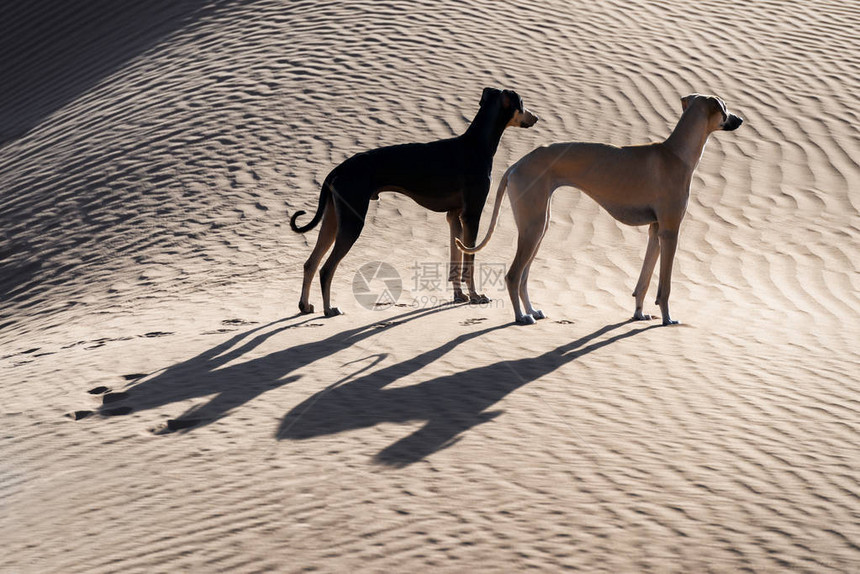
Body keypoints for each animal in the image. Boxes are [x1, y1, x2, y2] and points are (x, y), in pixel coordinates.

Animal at [294, 88, 536, 318]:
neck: (477, 145)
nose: (536, 118)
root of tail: (338, 169)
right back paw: (329, 309)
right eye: (522, 103)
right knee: (326, 269)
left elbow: (455, 261)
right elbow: (470, 262)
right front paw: (476, 296)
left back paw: (305, 305)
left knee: (310, 263)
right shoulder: (472, 215)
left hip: (334, 219)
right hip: (353, 222)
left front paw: (460, 295)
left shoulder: (454, 216)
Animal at [460, 97, 744, 326]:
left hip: (538, 226)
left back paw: (533, 311)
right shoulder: (670, 231)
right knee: (513, 276)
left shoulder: (655, 231)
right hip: (533, 227)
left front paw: (639, 313)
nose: (740, 119)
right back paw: (521, 316)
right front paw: (667, 318)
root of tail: (515, 165)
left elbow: (644, 281)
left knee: (524, 276)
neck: (675, 153)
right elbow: (665, 287)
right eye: (724, 107)